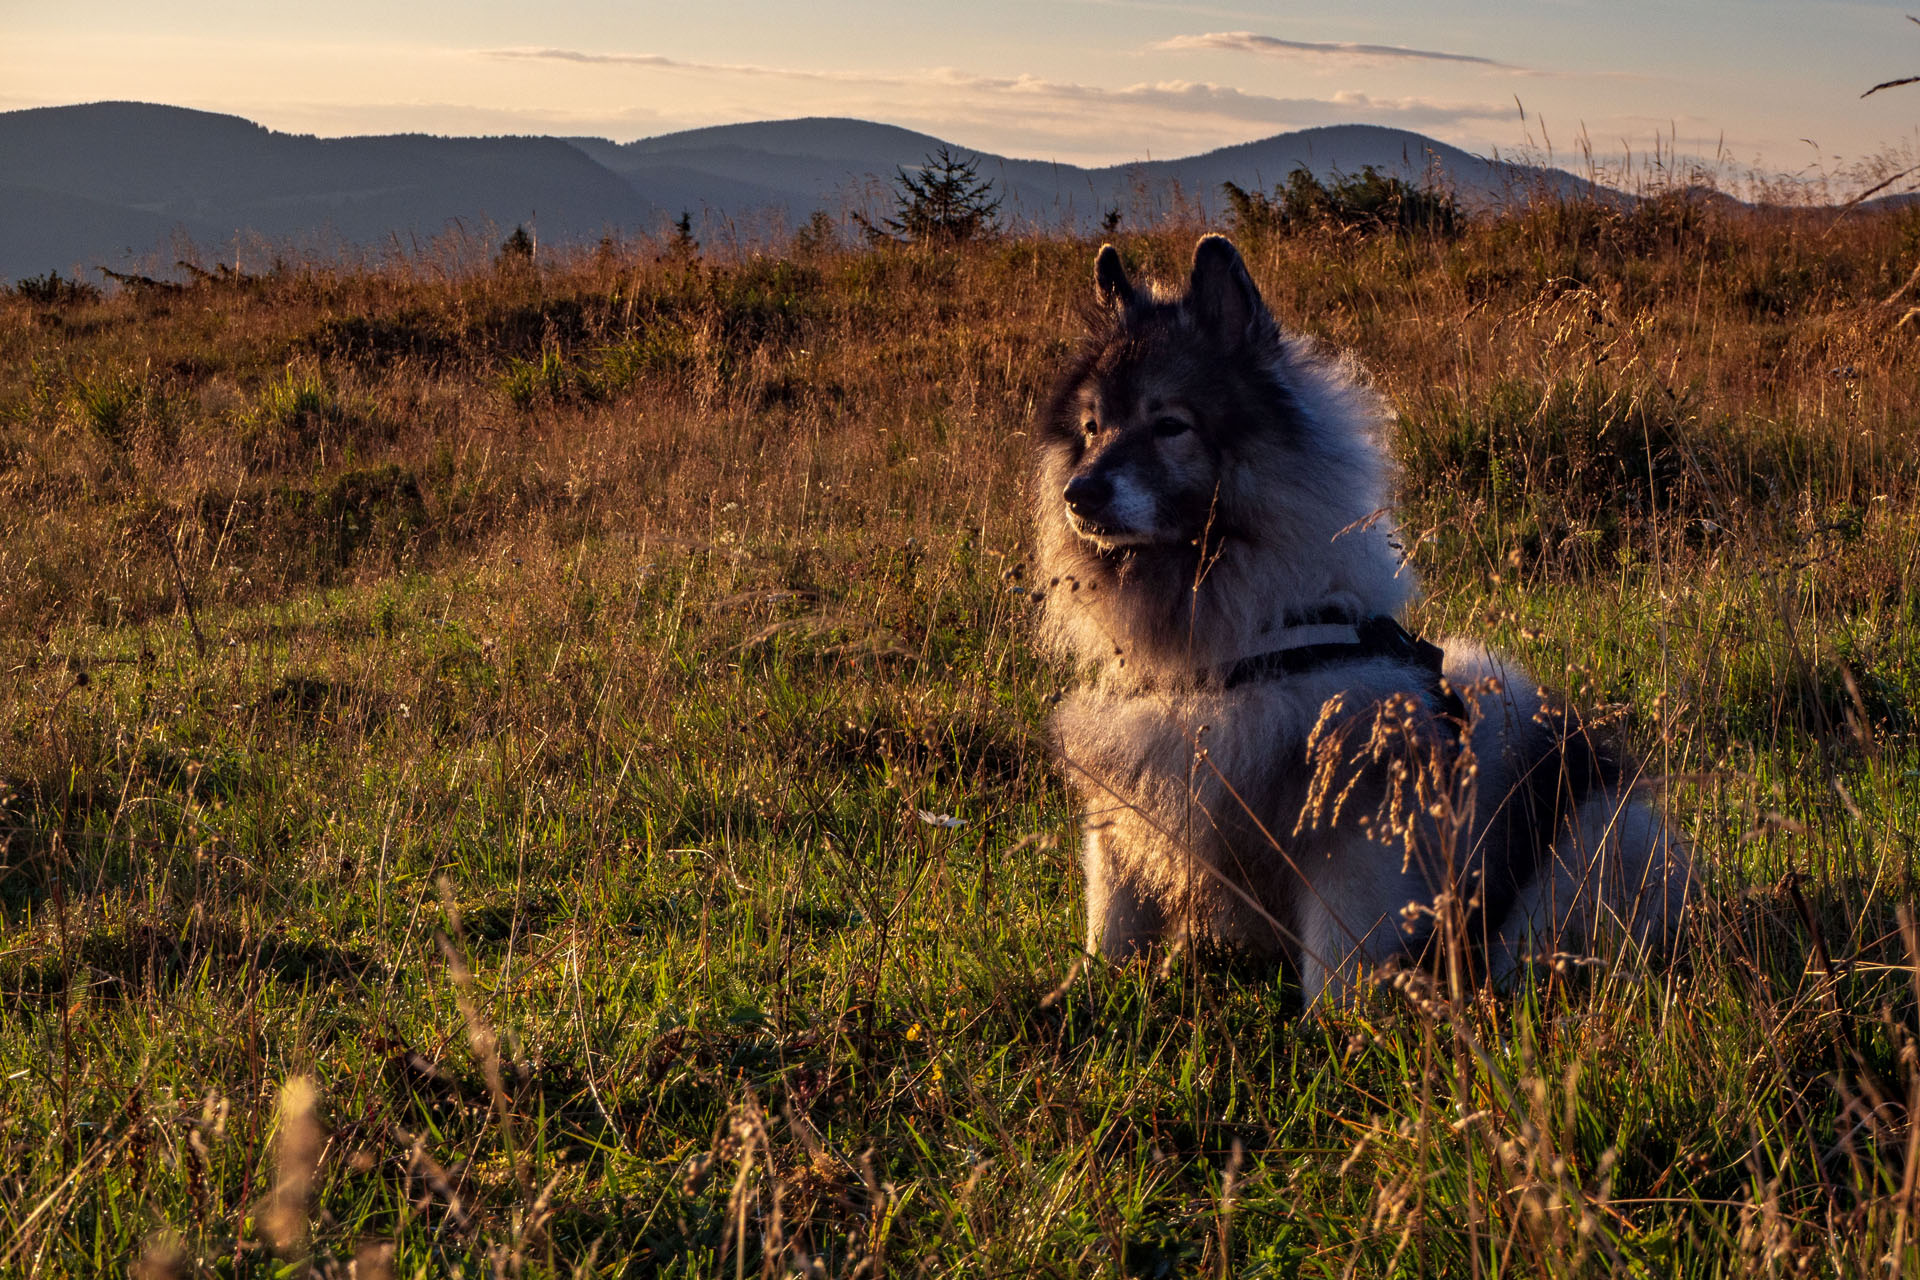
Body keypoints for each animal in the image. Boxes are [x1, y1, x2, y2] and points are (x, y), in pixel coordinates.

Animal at [1036, 235, 1697, 1005]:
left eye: (1170, 425)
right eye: (1091, 430)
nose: (1080, 493)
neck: (1225, 655)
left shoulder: (1351, 839)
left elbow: (1337, 964)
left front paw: (1332, 1028)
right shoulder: (1125, 810)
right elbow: (1112, 929)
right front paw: (1084, 996)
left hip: (1594, 838)